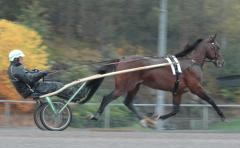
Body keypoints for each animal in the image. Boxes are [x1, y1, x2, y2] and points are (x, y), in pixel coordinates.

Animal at [84, 34, 225, 127]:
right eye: (217, 47)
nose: (221, 62)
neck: (192, 63)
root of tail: (122, 60)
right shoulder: (195, 87)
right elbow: (210, 100)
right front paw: (222, 115)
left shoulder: (178, 91)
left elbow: (175, 110)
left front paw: (156, 117)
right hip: (123, 87)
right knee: (107, 98)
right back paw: (96, 116)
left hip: (134, 86)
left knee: (128, 102)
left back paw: (144, 120)